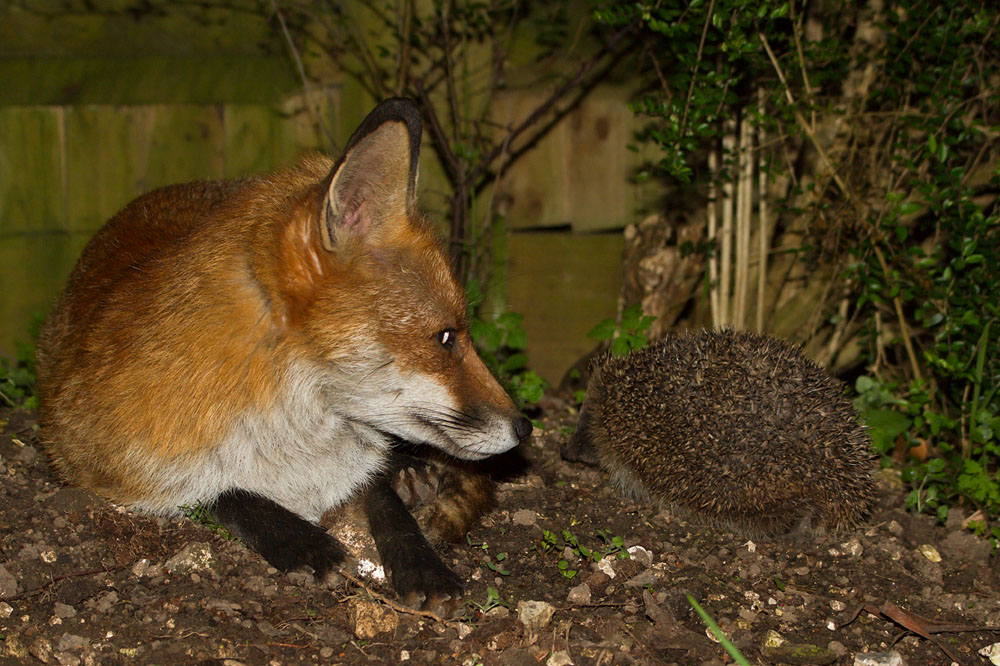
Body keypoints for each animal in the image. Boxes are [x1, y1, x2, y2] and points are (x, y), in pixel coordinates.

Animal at [35, 97, 532, 613]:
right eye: (445, 337)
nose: (525, 428)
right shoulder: (110, 465)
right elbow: (228, 494)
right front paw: (304, 544)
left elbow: (385, 501)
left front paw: (422, 563)